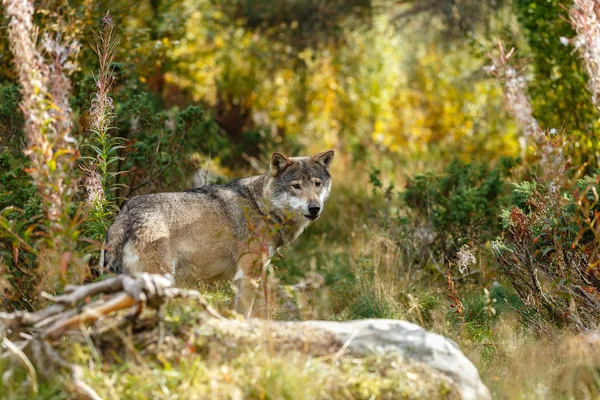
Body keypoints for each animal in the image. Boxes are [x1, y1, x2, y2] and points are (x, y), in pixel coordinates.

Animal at [99, 152, 332, 318]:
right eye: (296, 186)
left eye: (317, 183)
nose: (314, 208)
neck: (262, 207)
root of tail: (126, 214)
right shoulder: (248, 276)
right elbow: (243, 314)